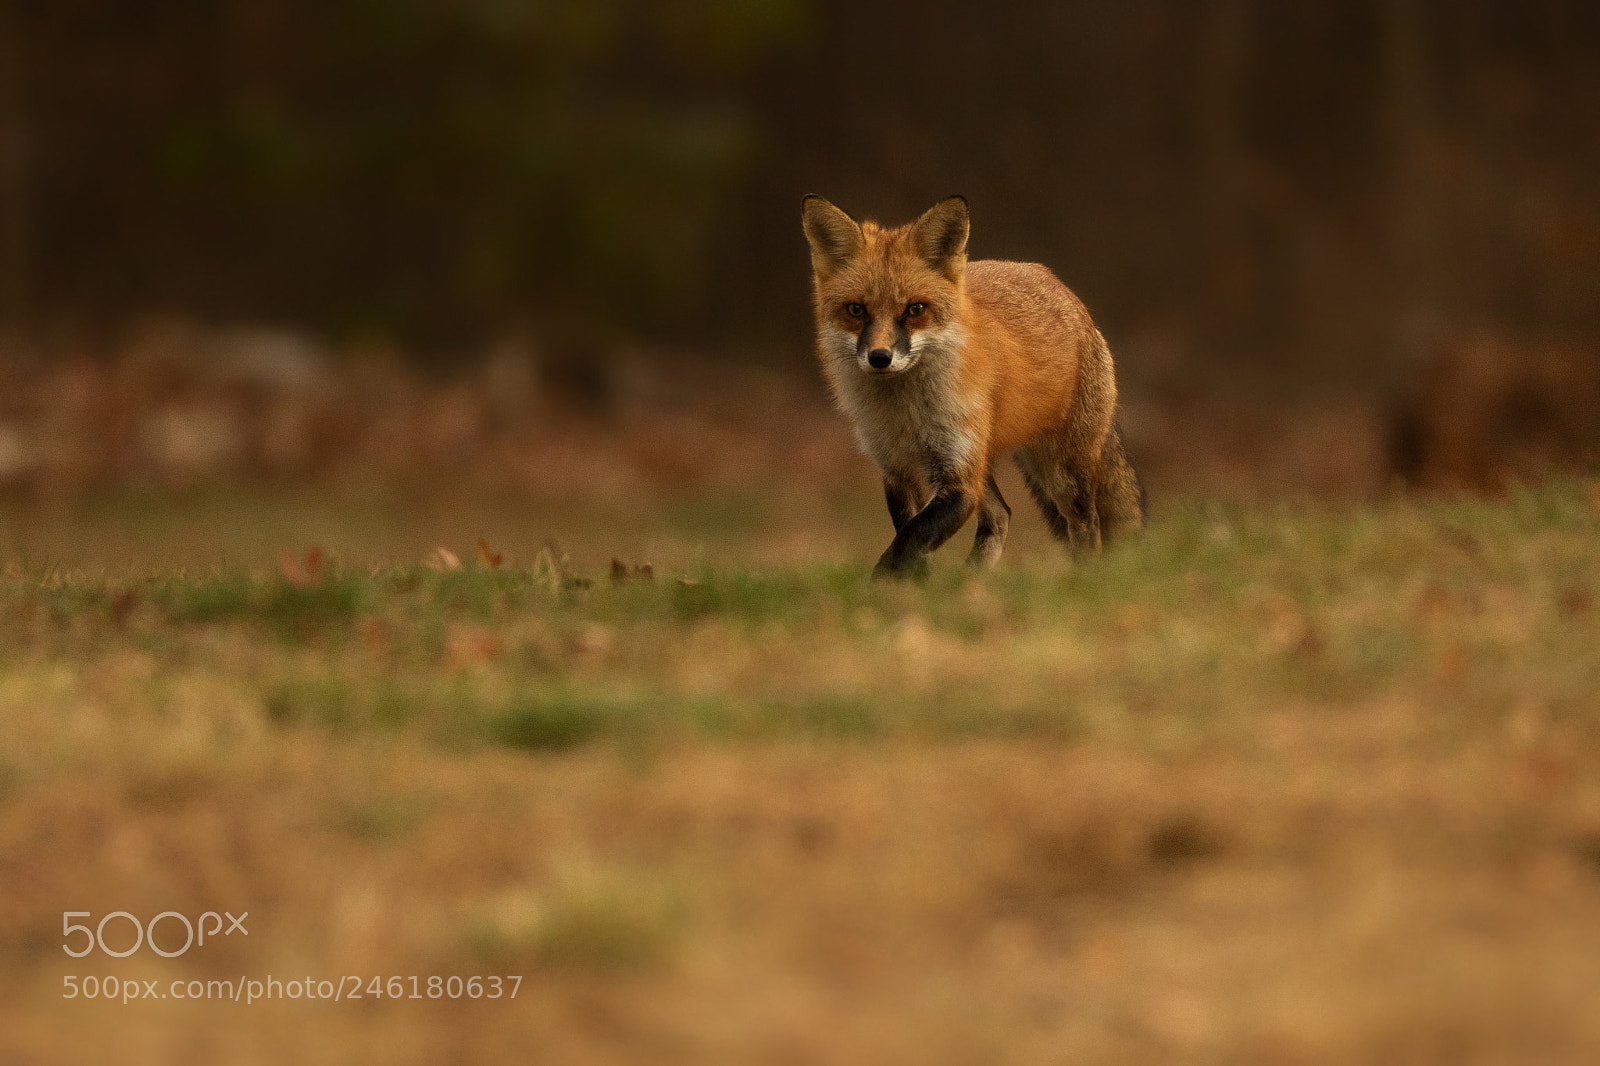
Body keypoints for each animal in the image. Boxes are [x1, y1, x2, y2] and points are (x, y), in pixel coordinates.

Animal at [802, 194, 1144, 577]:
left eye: (915, 309)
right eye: (856, 310)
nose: (879, 357)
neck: (906, 416)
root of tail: (1056, 283)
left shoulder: (959, 476)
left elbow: (907, 542)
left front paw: (880, 586)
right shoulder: (896, 470)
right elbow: (911, 543)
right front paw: (918, 586)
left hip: (1062, 473)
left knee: (1087, 525)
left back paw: (1081, 577)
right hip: (989, 463)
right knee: (1001, 515)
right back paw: (973, 579)